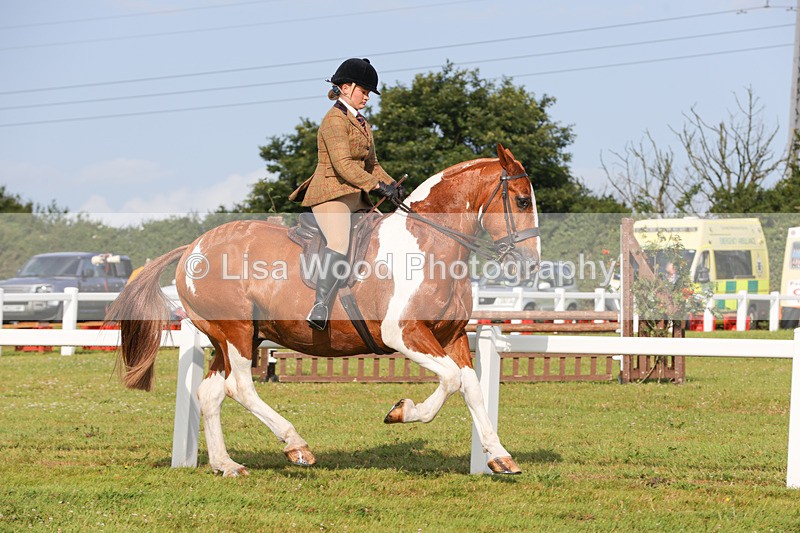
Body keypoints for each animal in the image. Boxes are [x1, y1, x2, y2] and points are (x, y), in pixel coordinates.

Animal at [109, 144, 541, 477]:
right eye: (521, 200)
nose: (531, 265)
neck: (429, 244)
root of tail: (193, 248)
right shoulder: (403, 333)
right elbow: (450, 381)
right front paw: (402, 412)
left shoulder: (450, 337)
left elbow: (471, 387)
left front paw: (500, 456)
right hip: (235, 331)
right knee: (241, 387)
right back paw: (295, 445)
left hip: (233, 336)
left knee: (211, 392)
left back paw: (226, 464)